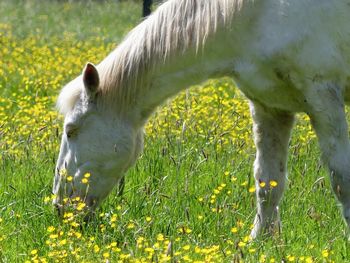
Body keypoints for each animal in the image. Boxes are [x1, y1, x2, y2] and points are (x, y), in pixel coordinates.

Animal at [52, 0, 350, 238]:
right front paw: (260, 242)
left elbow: (341, 178)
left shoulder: (323, 98)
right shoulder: (269, 106)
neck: (260, 13)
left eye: (71, 130)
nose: (60, 206)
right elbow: (267, 183)